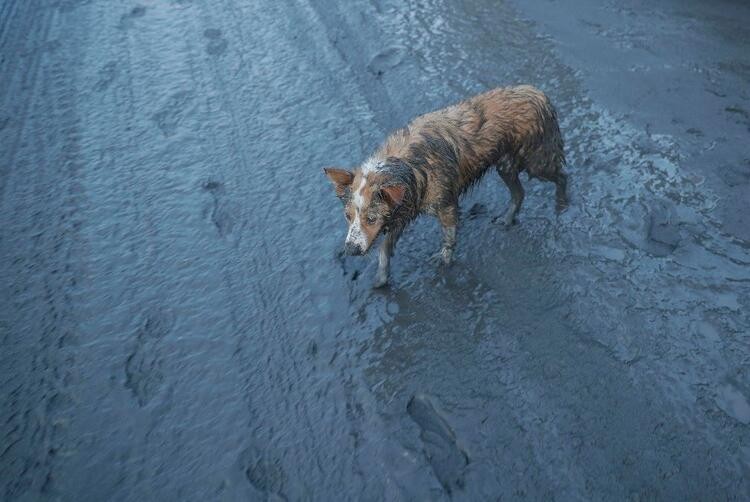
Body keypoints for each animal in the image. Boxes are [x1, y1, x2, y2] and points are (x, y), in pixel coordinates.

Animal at [324, 85, 568, 286]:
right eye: (347, 216)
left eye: (371, 219)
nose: (350, 250)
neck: (405, 164)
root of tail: (538, 93)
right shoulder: (401, 212)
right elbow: (384, 250)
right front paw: (381, 278)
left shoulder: (447, 206)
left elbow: (449, 237)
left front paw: (445, 259)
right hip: (506, 166)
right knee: (520, 193)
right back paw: (508, 219)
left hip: (537, 162)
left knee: (562, 176)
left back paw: (562, 205)